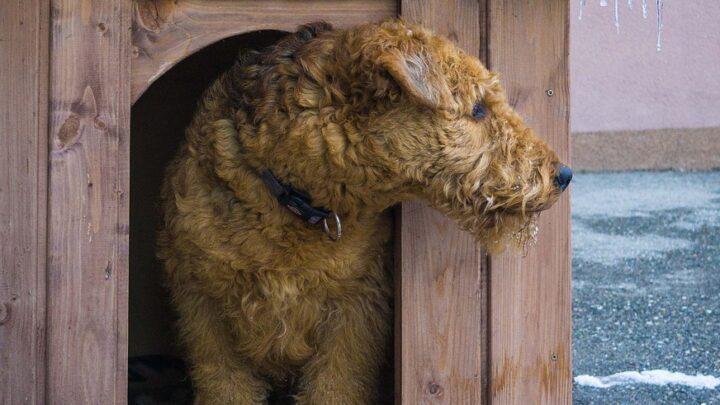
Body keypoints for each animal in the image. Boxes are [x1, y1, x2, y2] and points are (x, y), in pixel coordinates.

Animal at [156, 19, 568, 404]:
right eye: (478, 108)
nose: (563, 175)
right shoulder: (204, 309)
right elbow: (226, 386)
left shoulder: (355, 309)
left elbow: (336, 385)